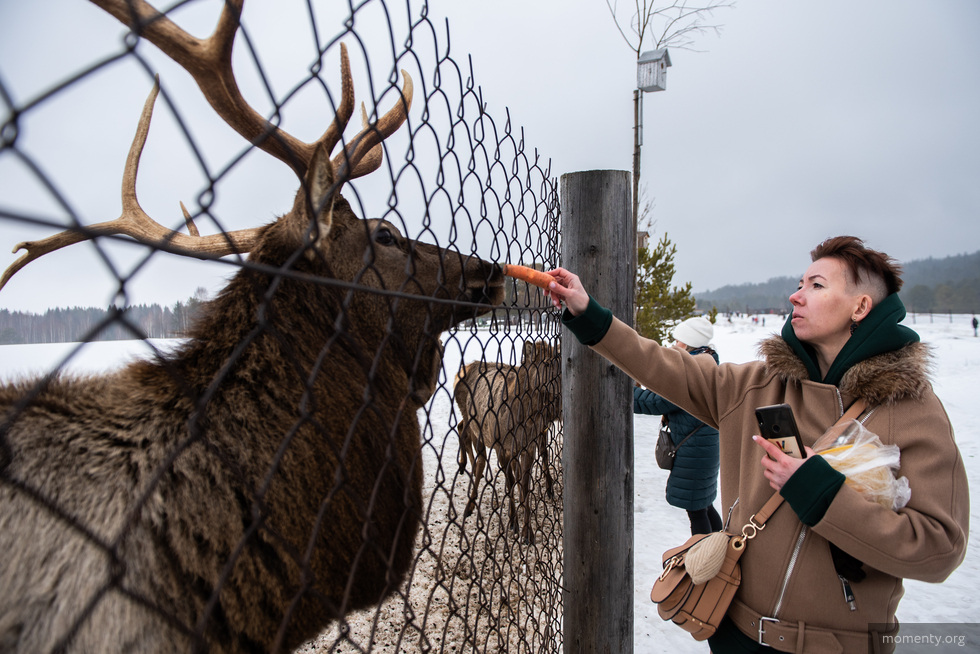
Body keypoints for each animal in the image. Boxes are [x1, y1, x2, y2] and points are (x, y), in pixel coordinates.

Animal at [452, 340, 560, 544]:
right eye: (547, 362)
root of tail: (460, 371)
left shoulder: (528, 445)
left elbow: (524, 485)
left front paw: (527, 532)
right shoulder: (502, 447)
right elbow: (510, 484)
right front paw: (513, 524)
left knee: (466, 436)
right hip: (474, 423)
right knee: (478, 455)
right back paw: (470, 504)